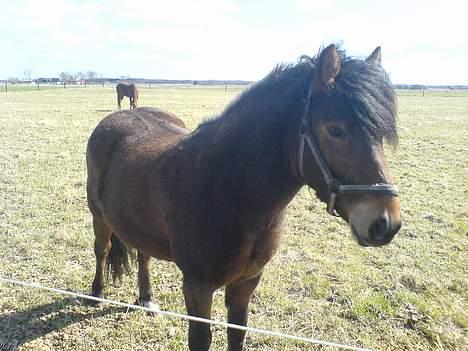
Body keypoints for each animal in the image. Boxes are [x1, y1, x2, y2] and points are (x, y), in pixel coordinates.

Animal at [86, 45, 400, 350]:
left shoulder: (246, 282)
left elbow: (237, 334)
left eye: (380, 134)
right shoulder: (197, 286)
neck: (228, 191)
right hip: (98, 216)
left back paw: (147, 298)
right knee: (102, 250)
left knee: (143, 255)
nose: (386, 223)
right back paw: (97, 293)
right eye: (335, 130)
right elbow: (201, 339)